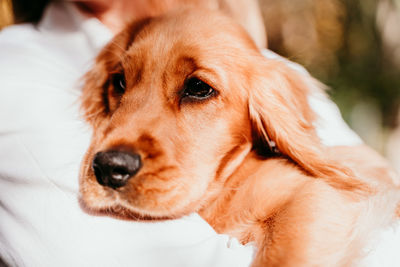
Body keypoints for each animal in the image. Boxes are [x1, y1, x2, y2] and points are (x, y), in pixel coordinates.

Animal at [79, 8, 400, 267]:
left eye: (198, 87)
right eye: (119, 81)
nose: (109, 167)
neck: (225, 186)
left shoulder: (314, 196)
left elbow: (286, 257)